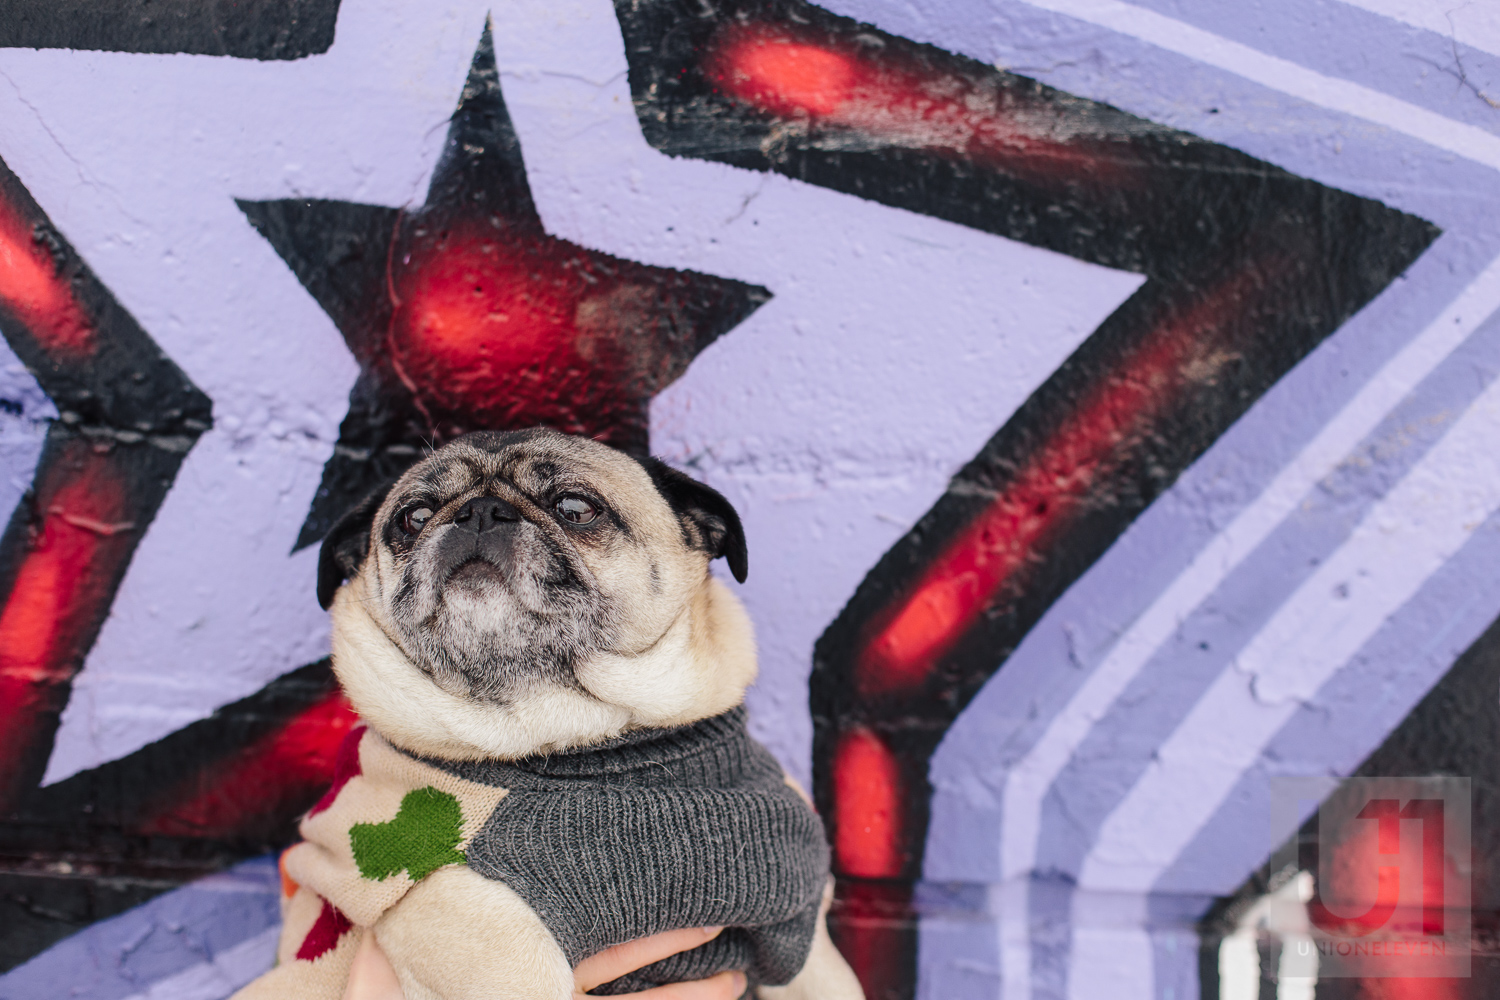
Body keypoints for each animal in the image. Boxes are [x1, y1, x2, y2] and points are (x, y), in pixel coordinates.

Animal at [235, 431, 870, 1000]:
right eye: (413, 517)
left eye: (575, 508)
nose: (479, 512)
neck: (574, 734)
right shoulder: (457, 913)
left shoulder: (800, 933)